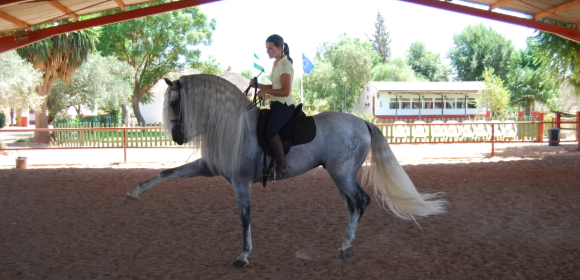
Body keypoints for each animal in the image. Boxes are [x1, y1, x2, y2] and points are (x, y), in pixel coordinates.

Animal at [122, 74, 446, 266]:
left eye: (177, 102)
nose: (177, 137)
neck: (232, 125)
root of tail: (363, 123)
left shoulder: (240, 181)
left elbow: (244, 217)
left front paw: (243, 255)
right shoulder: (207, 167)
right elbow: (165, 174)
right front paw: (132, 193)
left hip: (342, 174)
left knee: (361, 201)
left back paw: (345, 245)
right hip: (339, 175)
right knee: (353, 206)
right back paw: (347, 244)